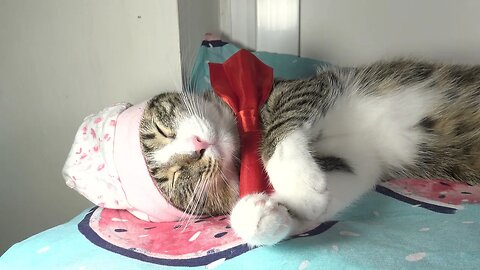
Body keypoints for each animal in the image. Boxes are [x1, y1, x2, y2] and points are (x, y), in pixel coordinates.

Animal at [138, 59, 480, 247]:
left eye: (162, 129)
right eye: (178, 178)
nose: (197, 147)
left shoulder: (299, 87)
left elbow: (281, 119)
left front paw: (297, 179)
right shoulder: (358, 160)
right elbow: (338, 188)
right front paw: (264, 214)